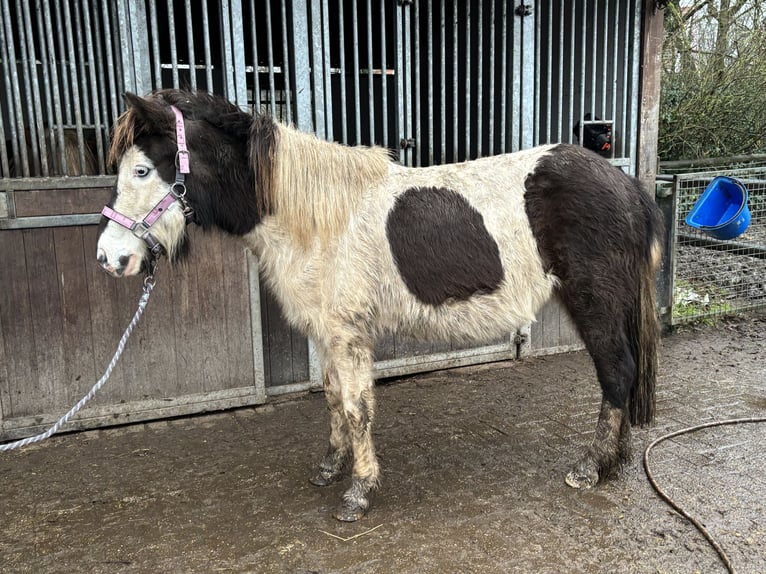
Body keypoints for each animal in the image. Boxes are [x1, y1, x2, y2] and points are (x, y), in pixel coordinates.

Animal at [96, 89, 664, 520]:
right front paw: (330, 468)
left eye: (142, 171)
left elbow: (357, 407)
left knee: (616, 371)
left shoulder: (349, 334)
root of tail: (626, 185)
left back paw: (590, 468)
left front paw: (359, 492)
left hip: (595, 301)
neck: (315, 216)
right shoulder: (327, 332)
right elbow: (332, 400)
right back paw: (615, 461)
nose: (110, 257)